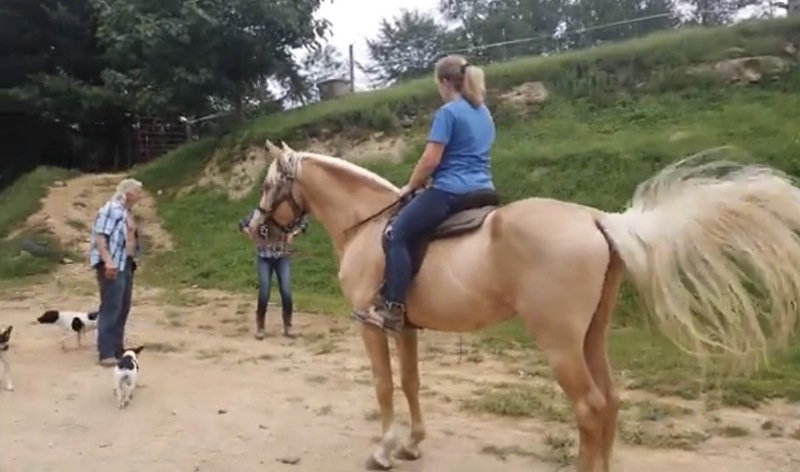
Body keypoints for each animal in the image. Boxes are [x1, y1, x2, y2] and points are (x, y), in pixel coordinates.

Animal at [248, 140, 800, 472]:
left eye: (269, 183)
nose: (255, 228)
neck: (370, 225)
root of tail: (596, 219)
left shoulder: (371, 325)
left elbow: (384, 386)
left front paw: (384, 449)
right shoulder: (404, 326)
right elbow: (410, 382)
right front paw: (412, 443)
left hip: (559, 342)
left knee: (589, 406)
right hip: (590, 337)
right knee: (610, 400)